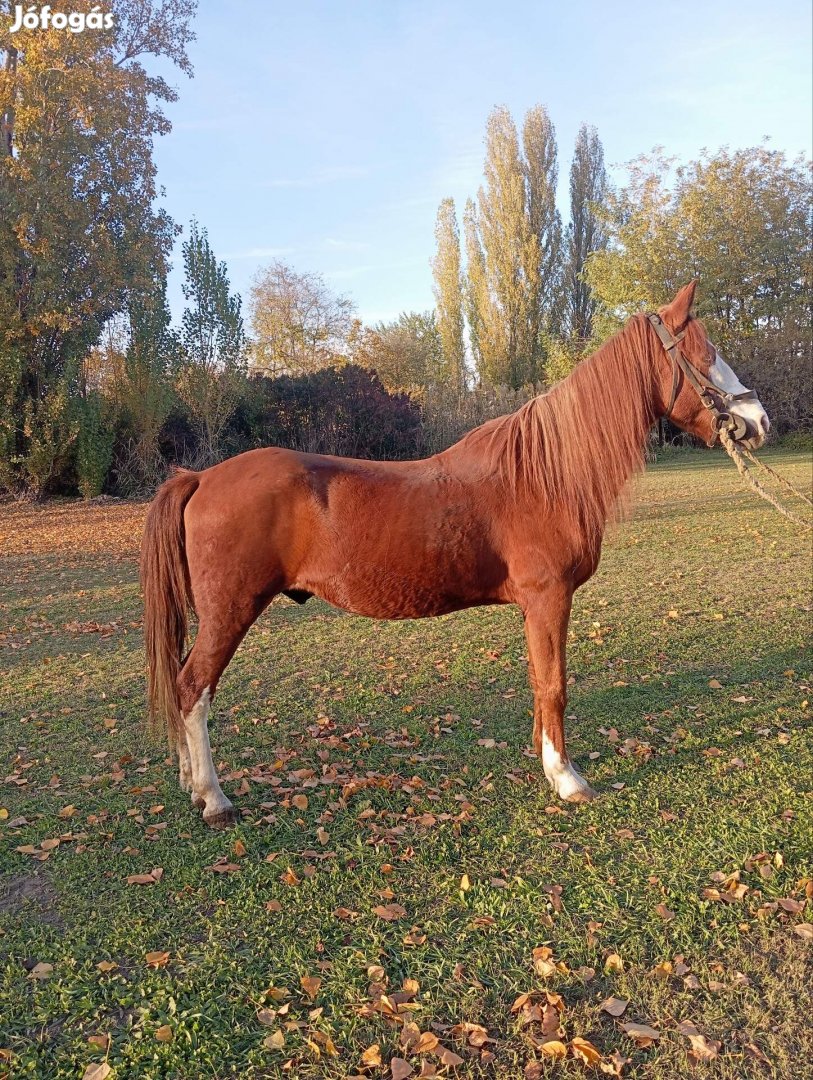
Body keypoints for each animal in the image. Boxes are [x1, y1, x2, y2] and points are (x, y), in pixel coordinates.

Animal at [141, 282, 768, 829]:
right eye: (706, 353)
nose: (758, 421)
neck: (543, 474)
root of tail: (200, 478)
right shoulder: (549, 599)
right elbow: (555, 684)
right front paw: (568, 779)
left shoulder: (534, 608)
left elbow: (539, 682)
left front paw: (548, 767)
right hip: (231, 611)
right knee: (193, 689)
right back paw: (214, 799)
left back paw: (194, 785)